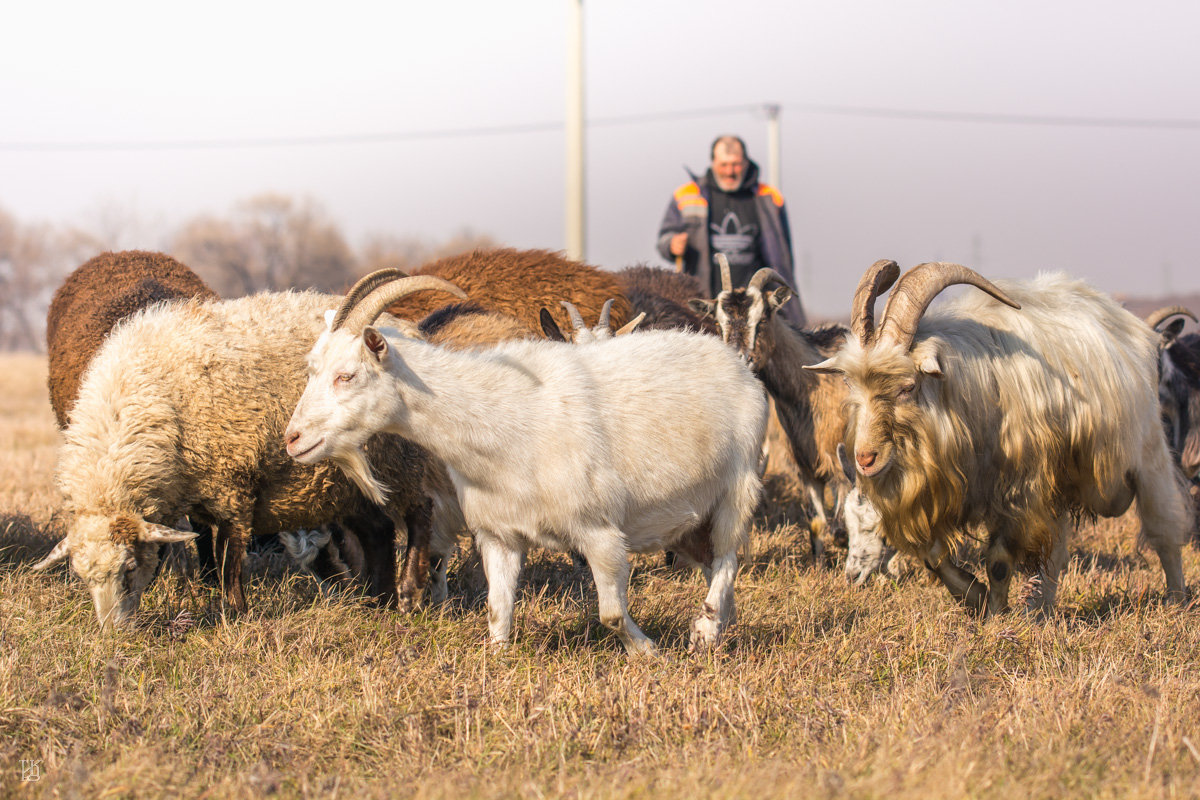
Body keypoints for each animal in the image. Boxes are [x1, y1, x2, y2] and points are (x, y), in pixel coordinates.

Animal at [35, 278, 465, 628]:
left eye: (128, 568)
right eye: (81, 576)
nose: (113, 633)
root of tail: (403, 328)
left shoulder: (233, 484)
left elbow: (228, 559)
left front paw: (235, 616)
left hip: (399, 460)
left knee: (420, 512)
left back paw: (408, 592)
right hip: (345, 482)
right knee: (377, 531)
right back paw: (377, 601)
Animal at [285, 272, 763, 652]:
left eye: (347, 375)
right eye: (311, 369)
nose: (293, 439)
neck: (503, 416)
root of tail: (732, 361)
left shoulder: (599, 532)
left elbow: (610, 614)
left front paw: (648, 652)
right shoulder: (498, 534)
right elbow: (497, 614)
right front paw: (497, 660)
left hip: (737, 486)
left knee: (728, 556)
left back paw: (704, 632)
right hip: (687, 515)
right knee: (712, 560)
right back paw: (722, 622)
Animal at [806, 261, 1190, 614]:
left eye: (907, 387)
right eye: (851, 385)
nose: (865, 459)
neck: (958, 394)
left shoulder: (1018, 489)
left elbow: (1000, 560)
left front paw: (994, 617)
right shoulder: (943, 489)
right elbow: (931, 553)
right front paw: (973, 594)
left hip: (1147, 454)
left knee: (1164, 531)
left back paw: (1176, 601)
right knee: (1057, 550)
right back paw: (1041, 610)